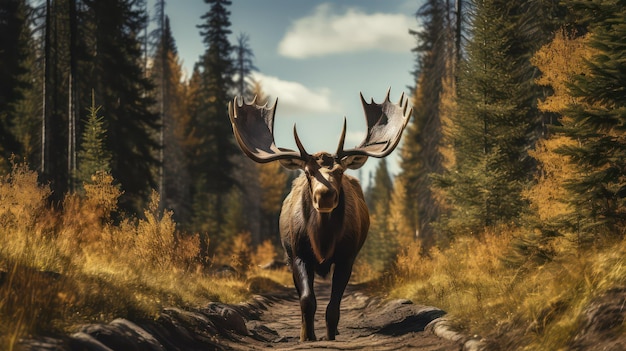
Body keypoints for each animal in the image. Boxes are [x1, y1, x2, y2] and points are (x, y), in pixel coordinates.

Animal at [228, 90, 410, 340]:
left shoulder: (346, 257)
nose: (325, 195)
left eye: (340, 171)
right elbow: (307, 299)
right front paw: (307, 336)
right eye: (308, 171)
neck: (322, 241)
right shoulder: (298, 255)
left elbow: (333, 306)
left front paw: (330, 335)